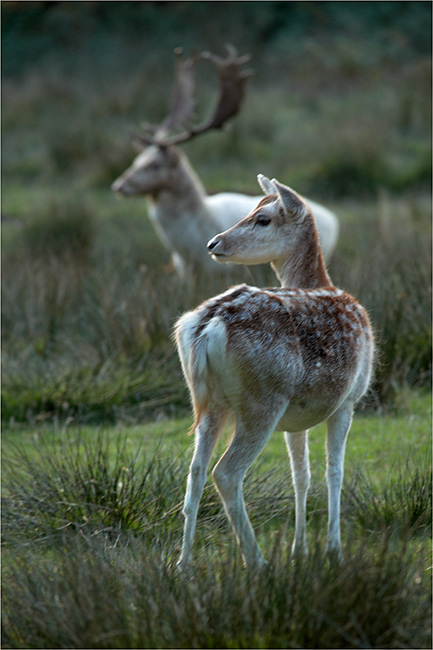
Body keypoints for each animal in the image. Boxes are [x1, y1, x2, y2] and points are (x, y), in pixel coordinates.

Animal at [174, 175, 374, 570]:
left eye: (262, 217)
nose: (213, 243)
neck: (322, 282)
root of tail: (206, 326)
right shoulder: (349, 399)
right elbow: (334, 472)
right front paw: (334, 550)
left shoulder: (297, 416)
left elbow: (302, 475)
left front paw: (301, 550)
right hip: (262, 401)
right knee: (226, 472)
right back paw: (258, 562)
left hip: (211, 403)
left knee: (195, 471)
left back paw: (183, 563)